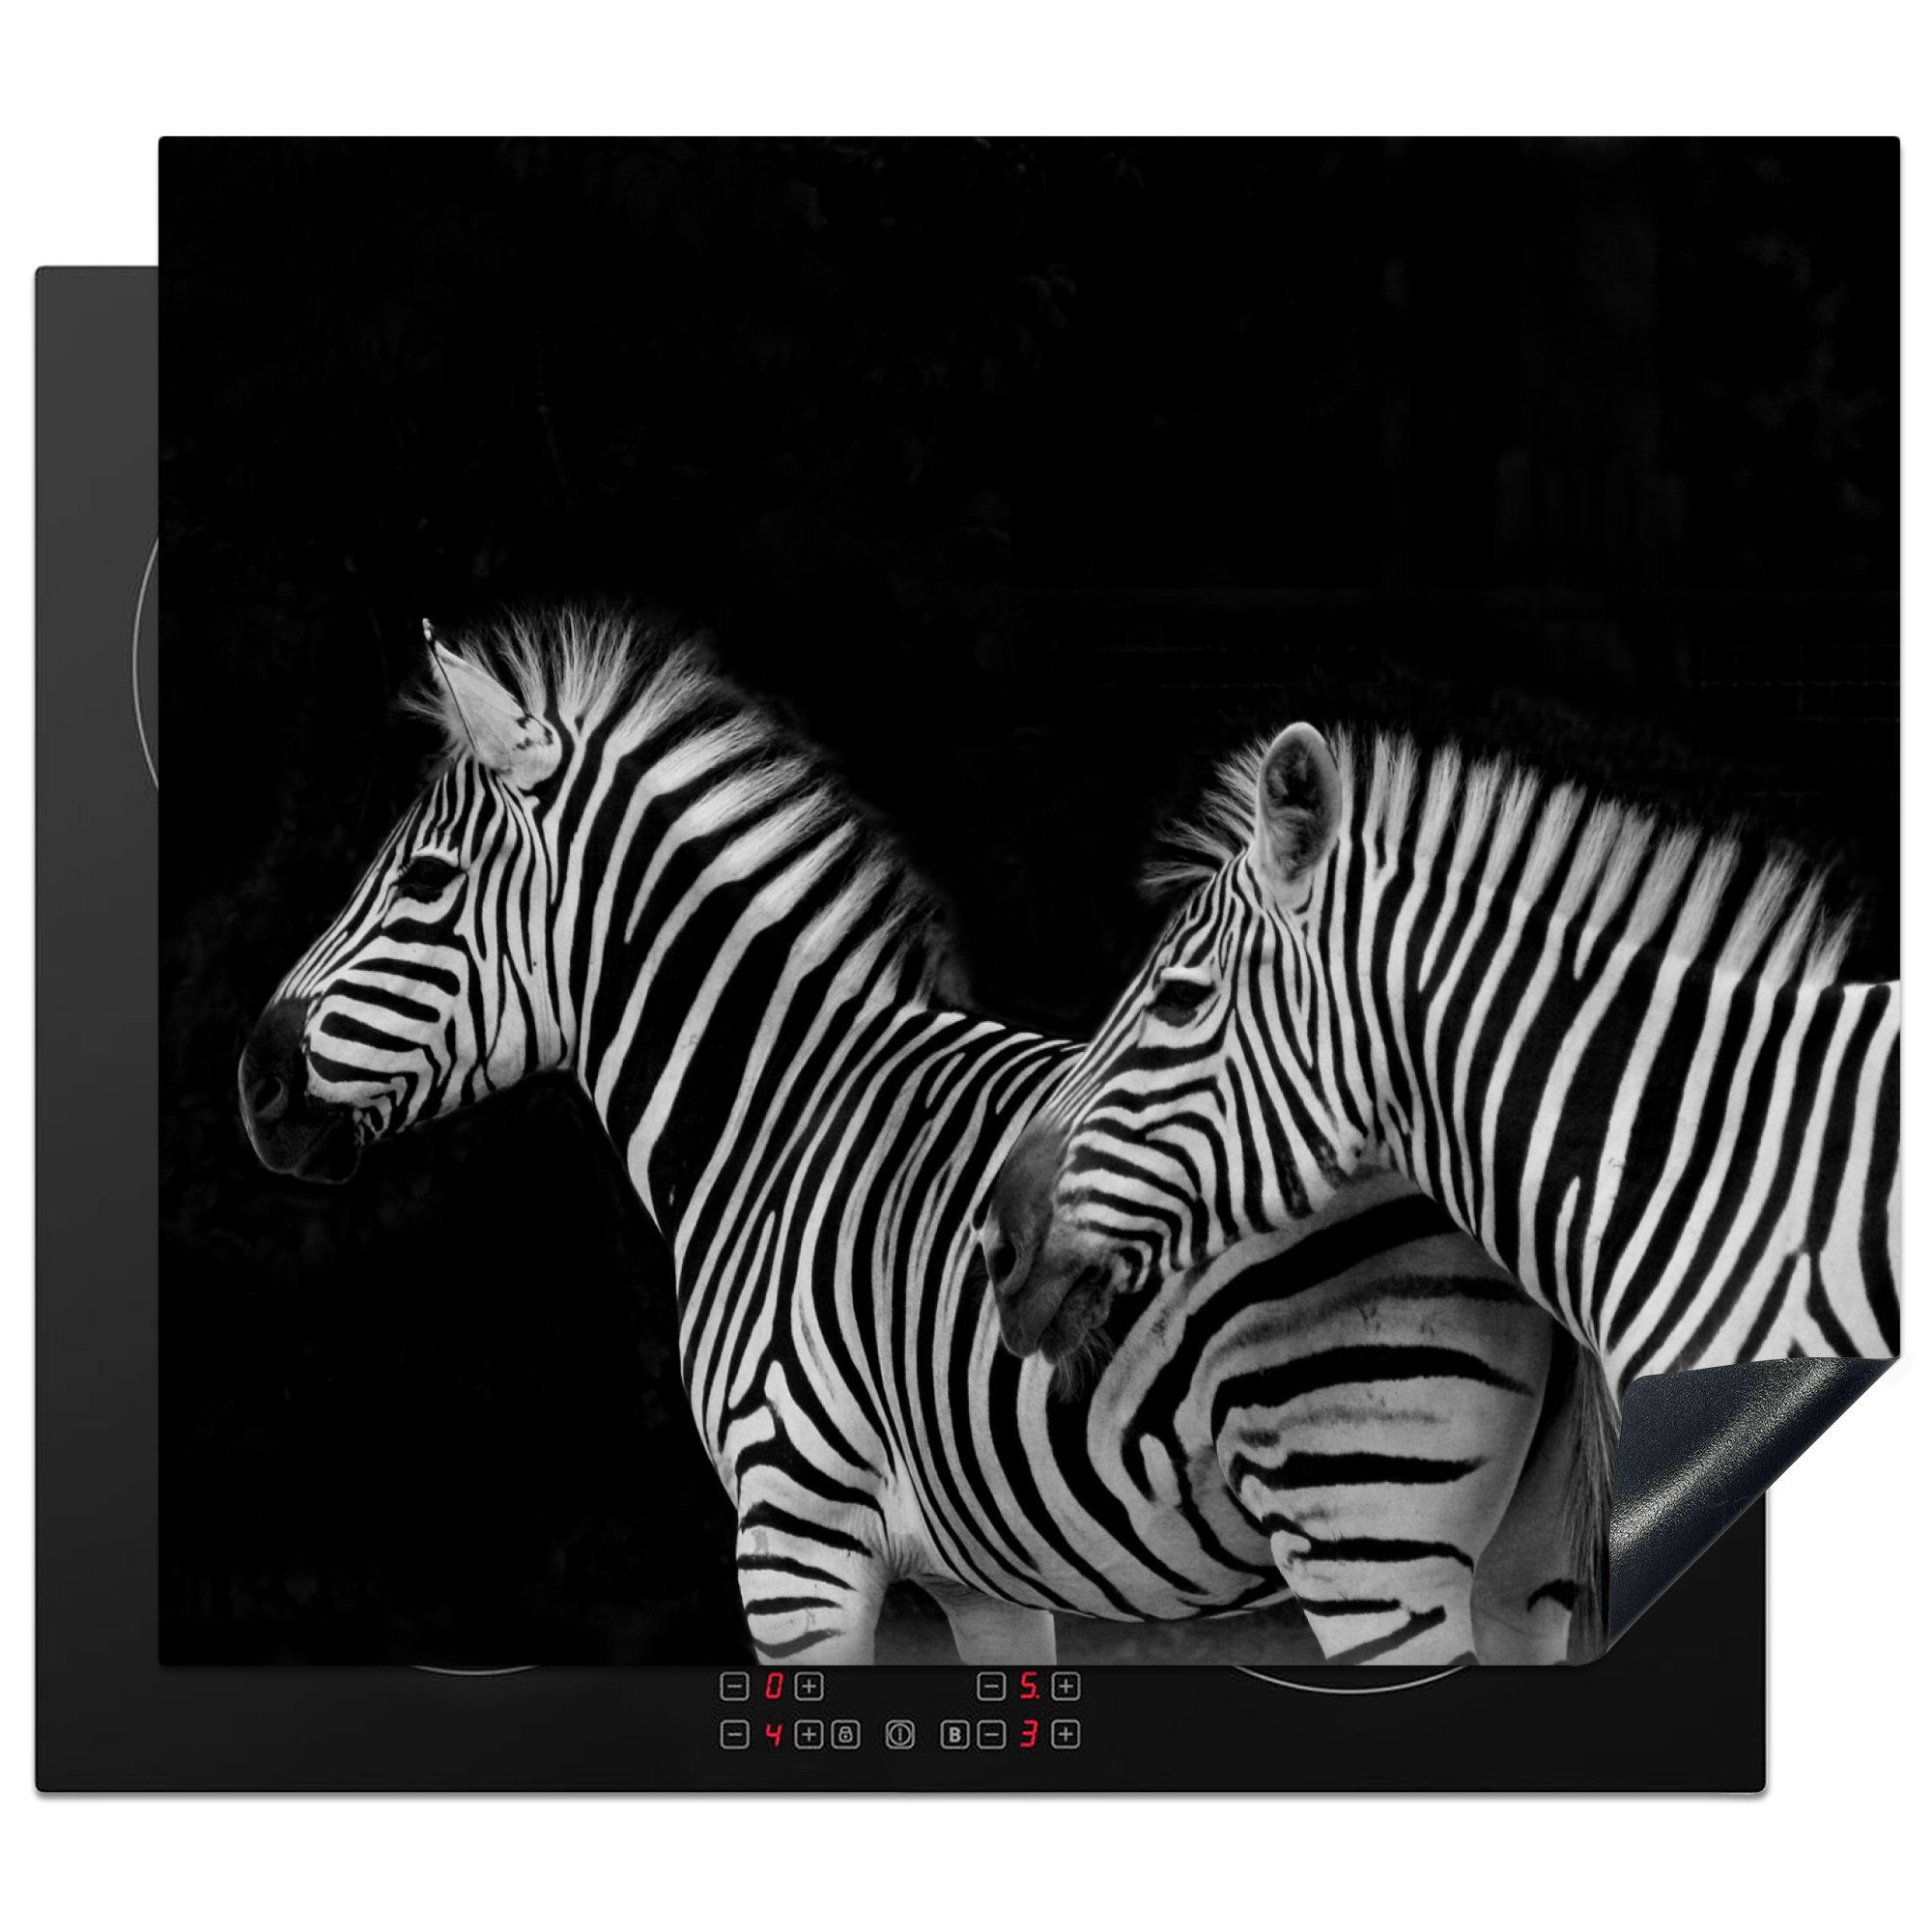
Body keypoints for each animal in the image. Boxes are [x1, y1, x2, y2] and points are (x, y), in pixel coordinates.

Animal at [237, 612, 1607, 1665]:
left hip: (1368, 1528)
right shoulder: (980, 1576)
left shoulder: (792, 1533)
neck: (773, 1111)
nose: (253, 1083)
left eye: (422, 883)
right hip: (1515, 1560)